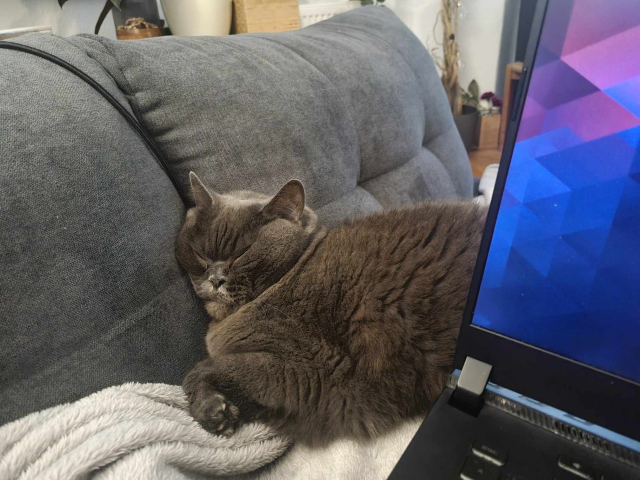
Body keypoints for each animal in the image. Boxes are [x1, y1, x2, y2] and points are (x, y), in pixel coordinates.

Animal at [175, 172, 484, 442]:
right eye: (201, 255)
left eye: (242, 254)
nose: (215, 279)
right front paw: (223, 412)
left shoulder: (315, 371)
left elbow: (206, 368)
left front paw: (211, 410)